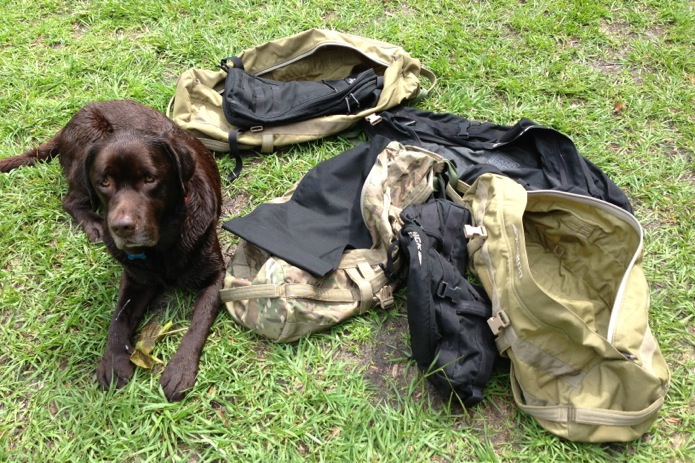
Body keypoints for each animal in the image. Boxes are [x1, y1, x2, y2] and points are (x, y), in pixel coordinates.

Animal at [1, 101, 224, 402]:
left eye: (150, 178)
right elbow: (119, 318)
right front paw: (113, 361)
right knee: (70, 200)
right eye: (104, 182)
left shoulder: (216, 276)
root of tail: (73, 119)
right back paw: (94, 225)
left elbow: (198, 323)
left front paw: (180, 369)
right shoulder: (136, 279)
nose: (121, 227)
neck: (163, 246)